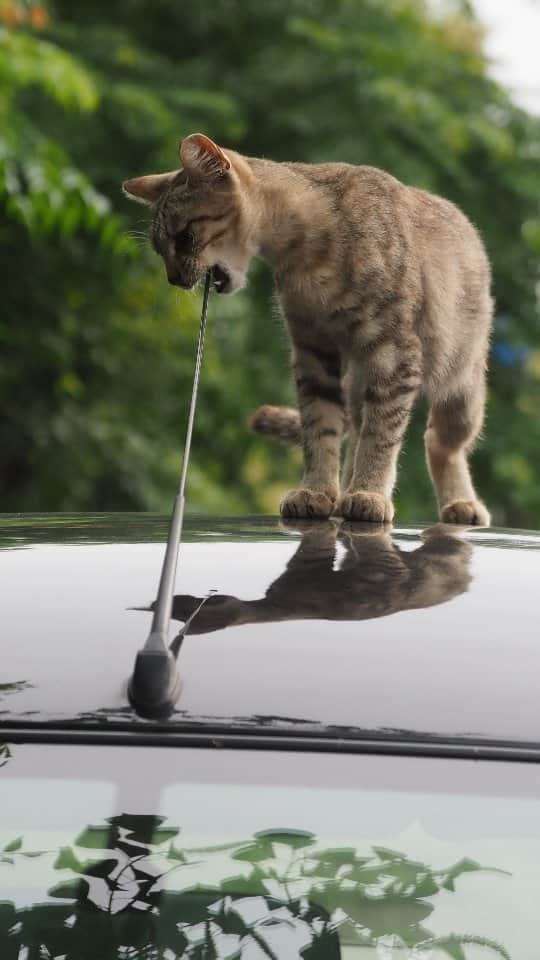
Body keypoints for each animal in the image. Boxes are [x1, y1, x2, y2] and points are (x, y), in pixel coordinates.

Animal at [123, 133, 494, 524]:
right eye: (159, 250)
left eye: (184, 236)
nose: (174, 280)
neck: (305, 250)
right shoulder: (312, 350)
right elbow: (320, 427)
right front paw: (317, 491)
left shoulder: (394, 352)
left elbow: (382, 435)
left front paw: (369, 493)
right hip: (360, 383)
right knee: (358, 431)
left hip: (461, 385)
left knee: (437, 442)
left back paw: (460, 503)